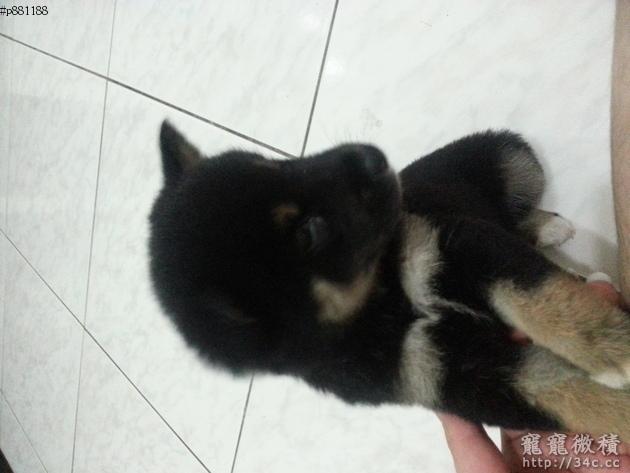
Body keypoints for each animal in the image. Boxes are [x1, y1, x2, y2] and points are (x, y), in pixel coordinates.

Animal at [149, 121, 630, 439]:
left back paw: (553, 228)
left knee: (518, 212)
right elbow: (567, 394)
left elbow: (539, 297)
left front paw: (612, 346)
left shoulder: (455, 244)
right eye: (308, 233)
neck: (383, 304)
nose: (374, 157)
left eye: (270, 164)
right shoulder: (446, 375)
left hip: (512, 157)